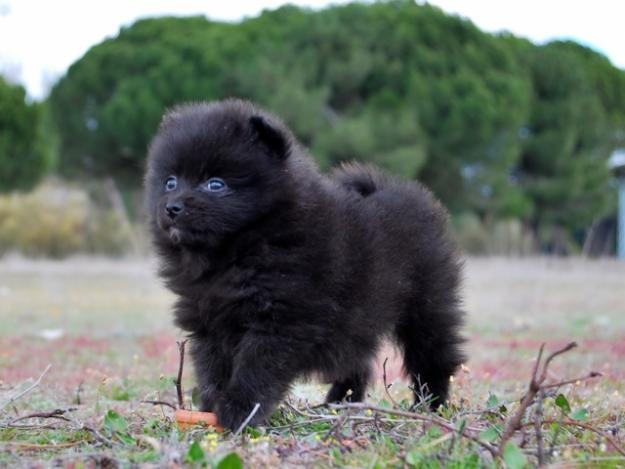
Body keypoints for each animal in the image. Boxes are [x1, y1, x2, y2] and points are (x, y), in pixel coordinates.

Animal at [143, 100, 464, 430]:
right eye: (170, 181)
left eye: (215, 184)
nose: (172, 207)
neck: (236, 252)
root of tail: (391, 186)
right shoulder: (208, 321)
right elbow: (213, 367)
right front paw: (211, 406)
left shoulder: (280, 321)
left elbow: (255, 368)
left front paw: (239, 410)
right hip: (358, 320)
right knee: (357, 361)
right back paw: (340, 403)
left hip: (427, 304)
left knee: (433, 356)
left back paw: (431, 406)